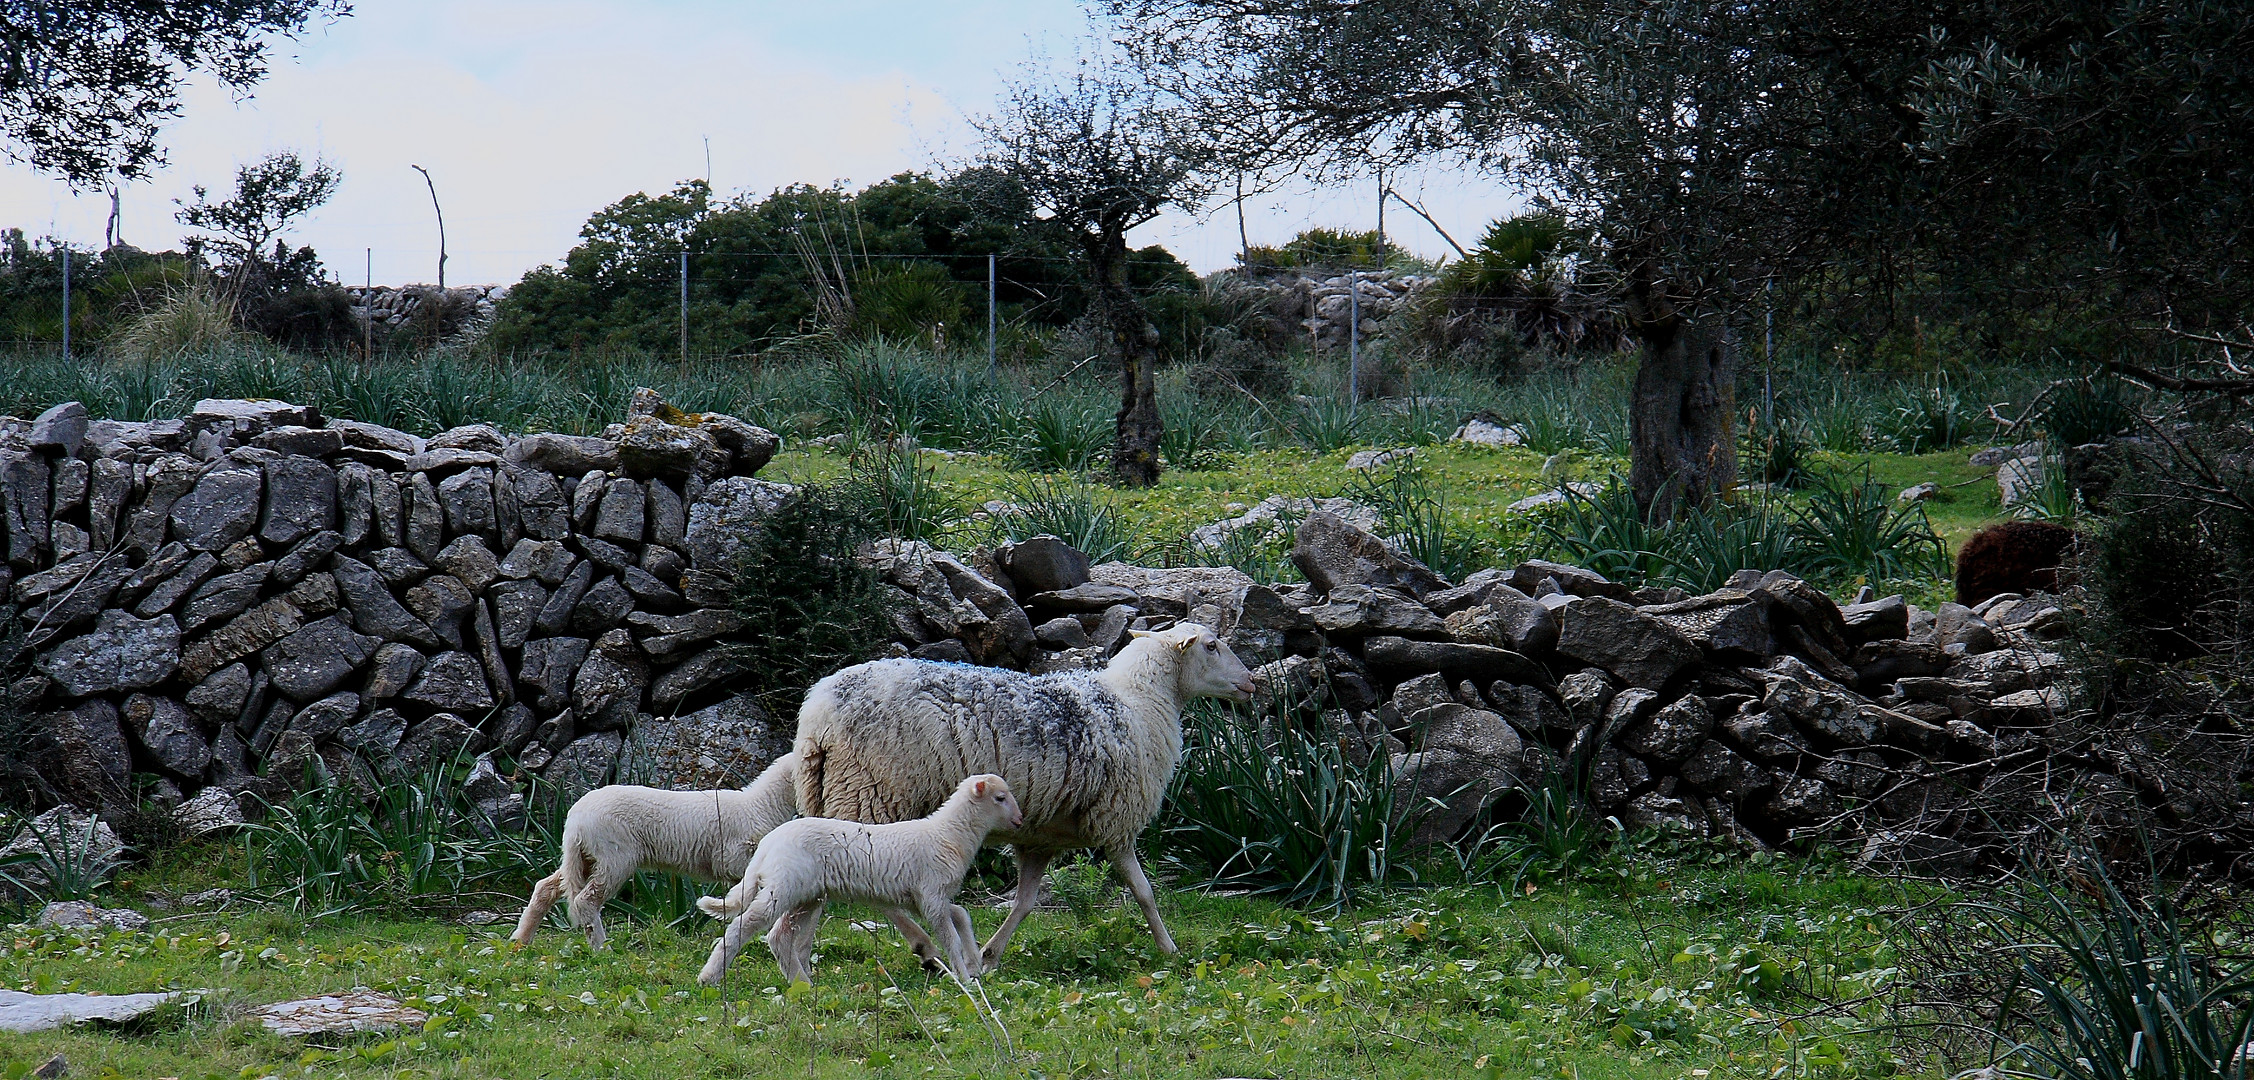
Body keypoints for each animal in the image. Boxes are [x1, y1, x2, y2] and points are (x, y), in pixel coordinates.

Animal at [511, 748, 802, 951]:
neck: (761, 805)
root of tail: (574, 820)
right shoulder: (736, 859)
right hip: (613, 856)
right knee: (586, 900)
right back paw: (602, 948)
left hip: (584, 857)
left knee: (546, 887)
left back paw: (521, 940)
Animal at [694, 771, 1032, 987]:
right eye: (1000, 797)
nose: (1020, 821)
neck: (949, 834)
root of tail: (767, 844)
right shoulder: (931, 895)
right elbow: (949, 937)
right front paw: (964, 977)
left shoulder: (925, 897)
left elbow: (961, 914)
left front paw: (975, 966)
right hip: (784, 886)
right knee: (748, 926)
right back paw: (710, 976)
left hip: (805, 894)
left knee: (780, 936)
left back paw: (802, 983)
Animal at [788, 622, 1253, 978]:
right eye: (1212, 645)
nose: (1251, 683)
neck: (1137, 702)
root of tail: (816, 712)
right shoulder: (1116, 822)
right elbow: (1144, 892)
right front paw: (1169, 949)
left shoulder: (1040, 838)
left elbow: (1025, 902)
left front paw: (990, 955)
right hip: (872, 794)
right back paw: (926, 948)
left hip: (832, 796)